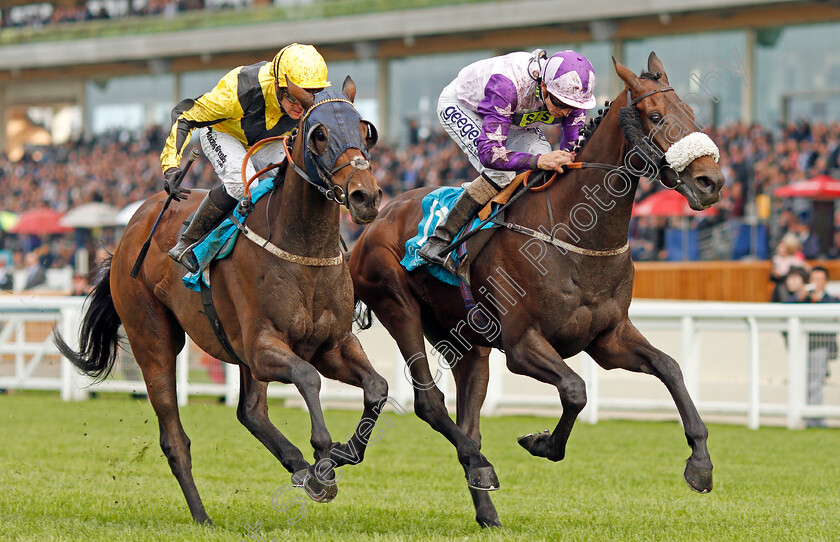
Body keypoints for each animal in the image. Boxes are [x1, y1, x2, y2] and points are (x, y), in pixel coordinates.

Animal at [54, 77, 388, 528]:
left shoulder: (332, 345)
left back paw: (297, 466)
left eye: (365, 130)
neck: (302, 248)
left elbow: (377, 386)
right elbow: (308, 377)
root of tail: (130, 230)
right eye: (319, 135)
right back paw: (203, 515)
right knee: (175, 437)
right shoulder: (263, 346)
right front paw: (322, 454)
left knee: (251, 411)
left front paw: (339, 455)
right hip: (153, 339)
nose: (365, 196)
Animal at [352, 56, 724, 532]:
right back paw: (482, 468)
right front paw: (542, 442)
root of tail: (372, 224)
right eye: (656, 116)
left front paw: (700, 464)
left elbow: (671, 368)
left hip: (467, 344)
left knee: (468, 423)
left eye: (692, 114)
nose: (711, 181)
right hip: (399, 307)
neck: (577, 236)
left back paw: (487, 506)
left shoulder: (608, 338)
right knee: (429, 402)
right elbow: (576, 390)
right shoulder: (521, 344)